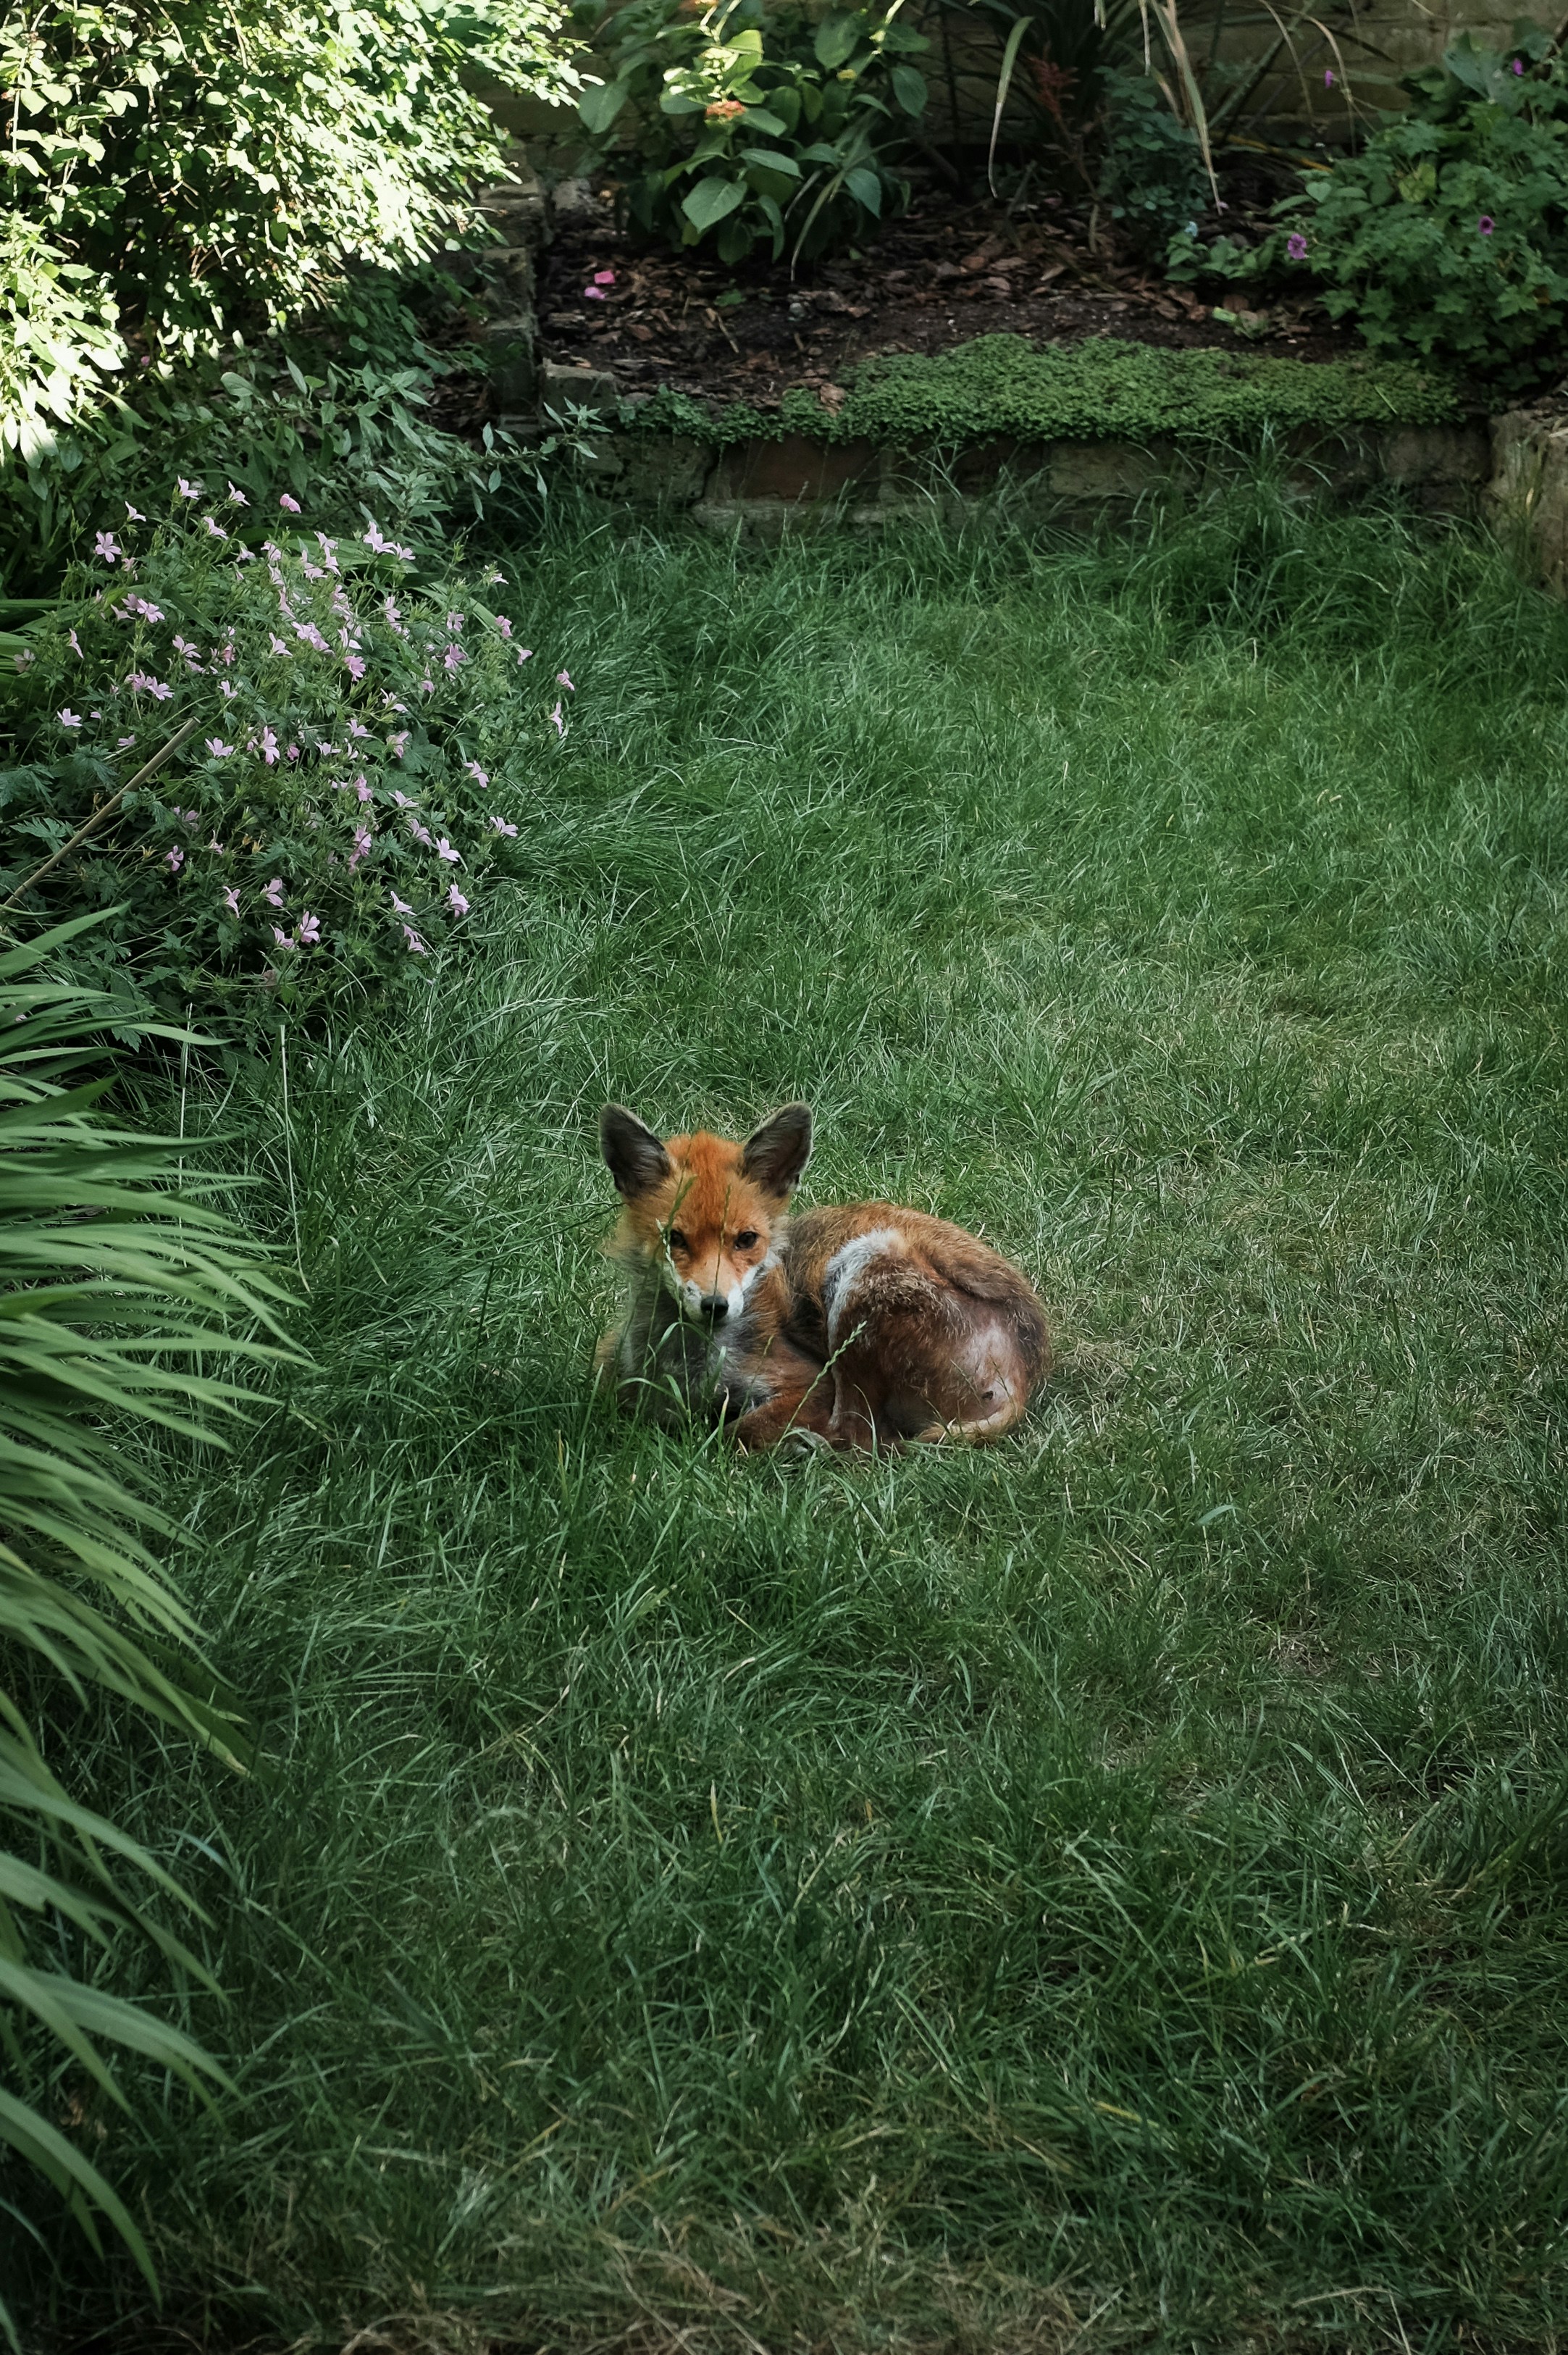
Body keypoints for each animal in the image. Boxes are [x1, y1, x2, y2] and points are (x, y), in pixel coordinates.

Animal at [597, 1101, 1049, 1452]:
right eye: (674, 1238)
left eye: (746, 1240)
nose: (715, 1306)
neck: (690, 1364)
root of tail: (1029, 1367)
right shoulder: (619, 1374)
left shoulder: (812, 1383)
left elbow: (737, 1431)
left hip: (860, 1273)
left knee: (861, 1439)